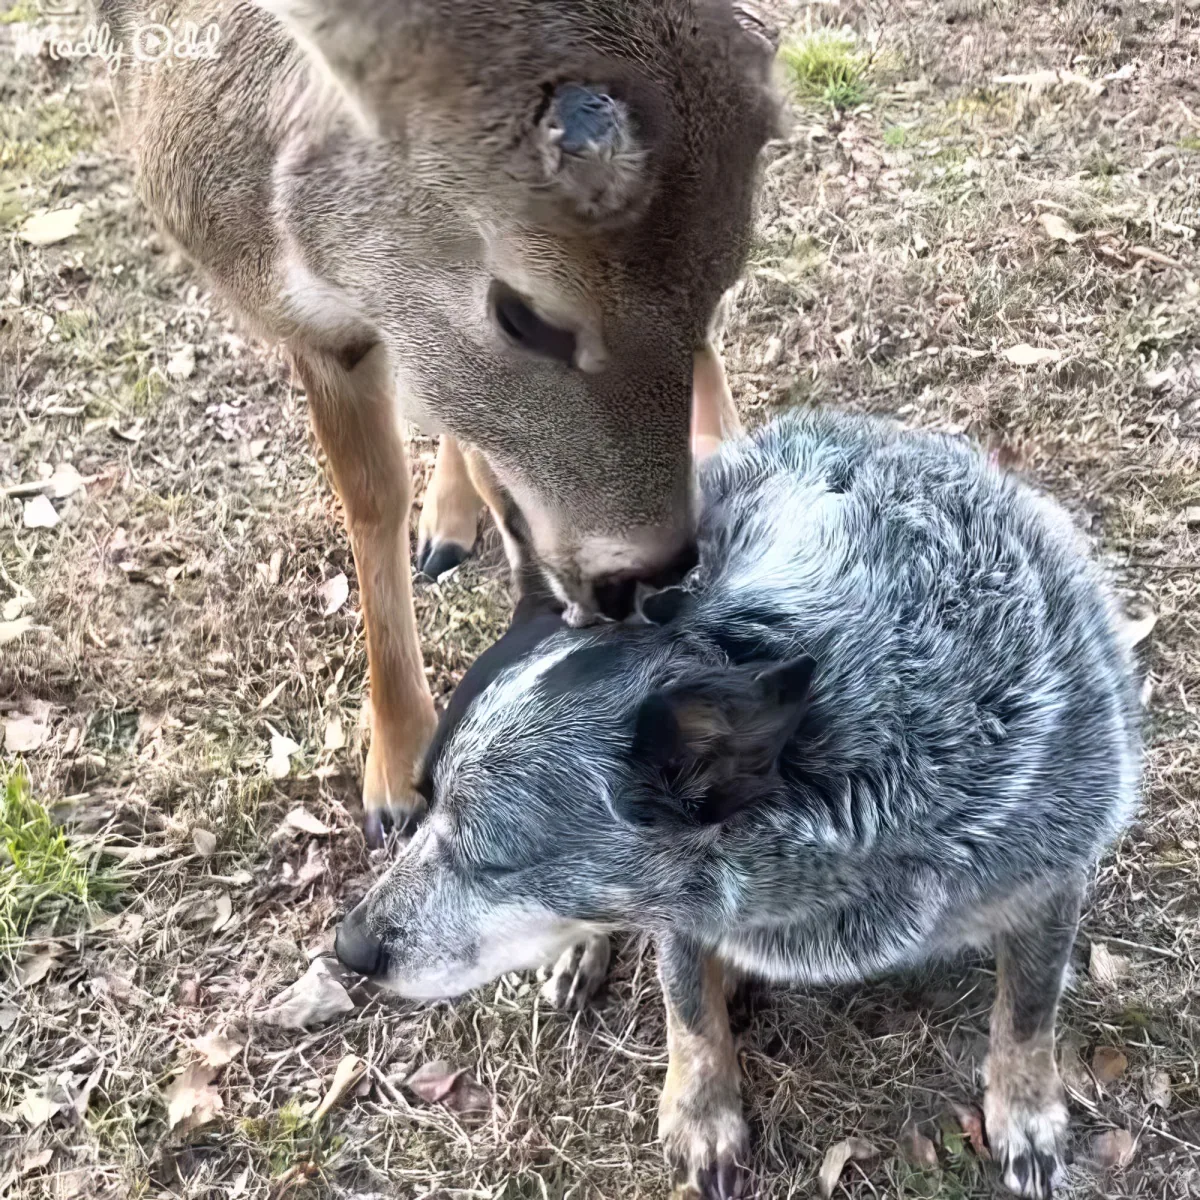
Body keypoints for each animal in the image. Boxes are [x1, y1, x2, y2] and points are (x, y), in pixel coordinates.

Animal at [98, 0, 778, 1002]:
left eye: (722, 277)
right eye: (527, 313)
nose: (652, 571)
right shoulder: (311, 324)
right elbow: (372, 494)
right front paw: (392, 771)